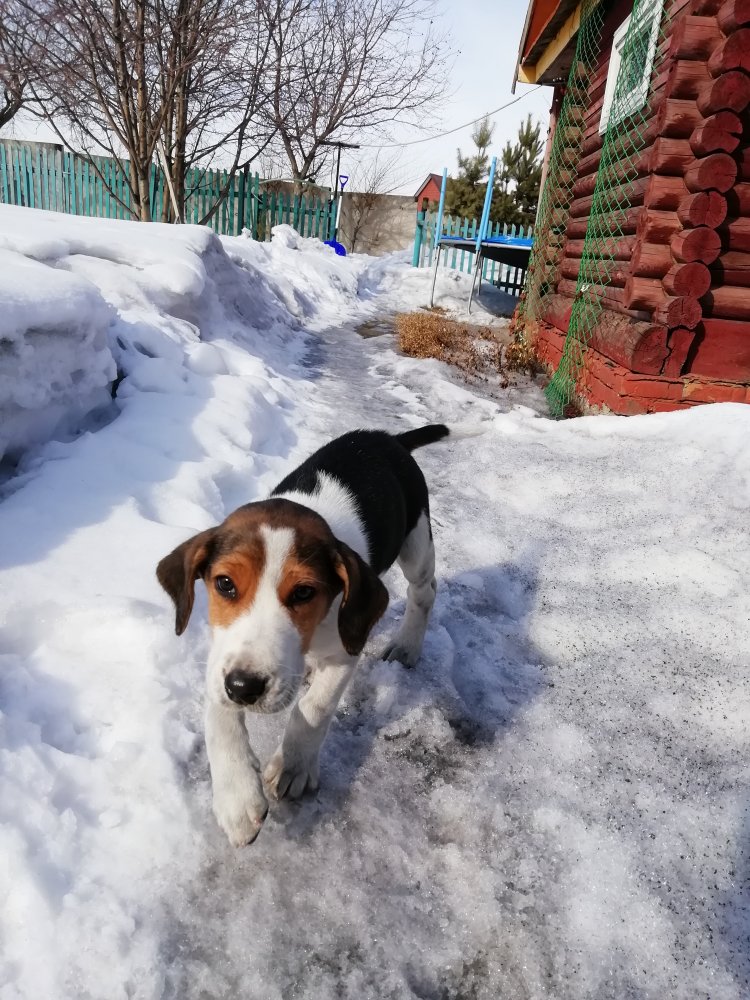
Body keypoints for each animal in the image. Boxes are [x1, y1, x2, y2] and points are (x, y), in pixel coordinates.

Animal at [157, 426, 452, 848]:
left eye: (303, 593)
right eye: (225, 584)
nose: (245, 688)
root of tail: (388, 437)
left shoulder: (345, 650)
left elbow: (313, 709)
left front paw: (293, 767)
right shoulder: (222, 657)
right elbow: (220, 718)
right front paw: (236, 797)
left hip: (416, 544)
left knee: (424, 591)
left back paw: (407, 645)